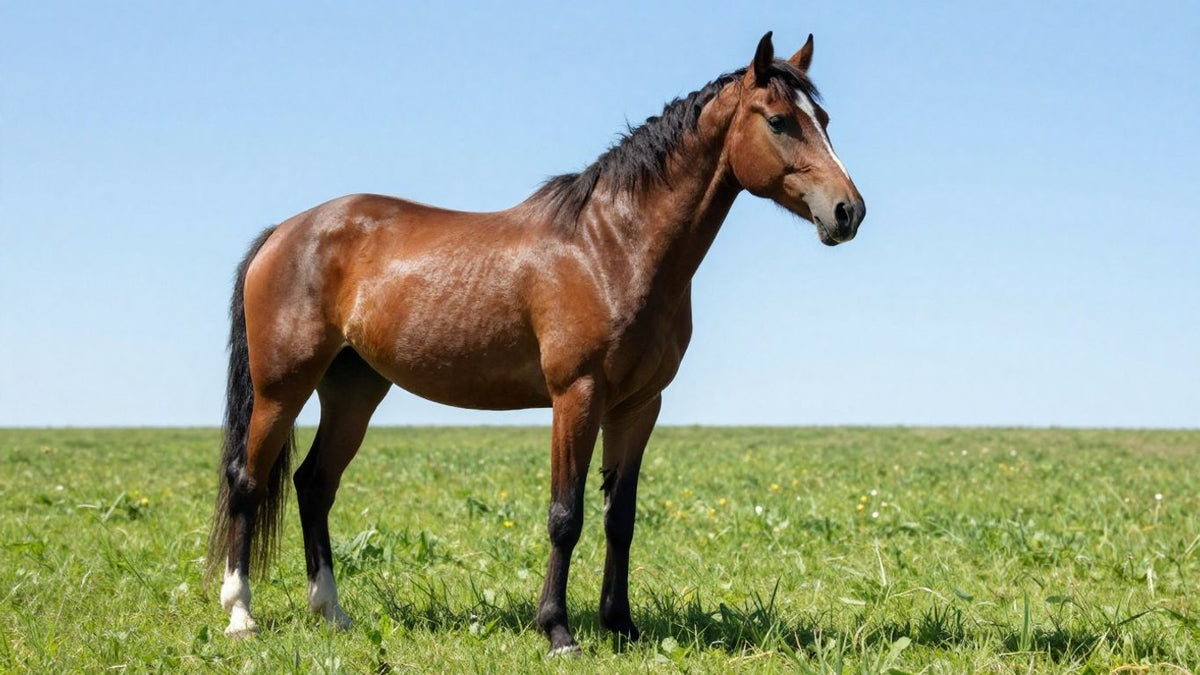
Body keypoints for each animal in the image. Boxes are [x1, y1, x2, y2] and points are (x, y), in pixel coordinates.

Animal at [208, 31, 864, 655]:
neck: (612, 246)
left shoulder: (638, 406)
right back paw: (241, 616)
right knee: (248, 481)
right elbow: (565, 515)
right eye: (778, 120)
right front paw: (558, 631)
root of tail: (286, 231)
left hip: (353, 390)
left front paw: (621, 626)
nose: (848, 211)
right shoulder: (576, 395)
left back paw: (332, 613)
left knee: (314, 485)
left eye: (825, 119)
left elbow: (620, 517)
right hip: (282, 388)